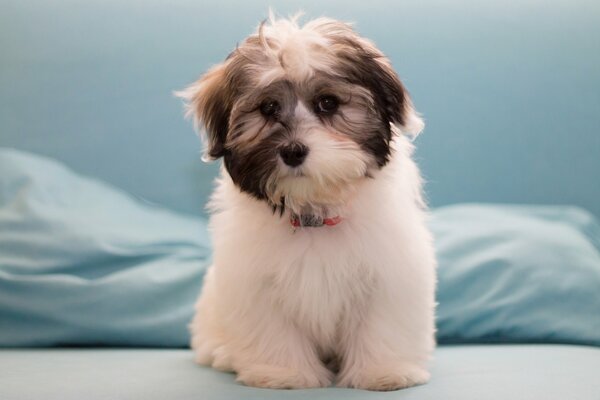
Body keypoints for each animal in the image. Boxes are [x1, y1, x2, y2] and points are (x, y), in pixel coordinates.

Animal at [177, 13, 436, 390]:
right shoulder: (256, 285)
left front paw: (384, 372)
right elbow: (275, 332)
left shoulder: (388, 276)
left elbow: (381, 326)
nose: (293, 150)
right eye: (268, 108)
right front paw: (285, 374)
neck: (314, 212)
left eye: (328, 103)